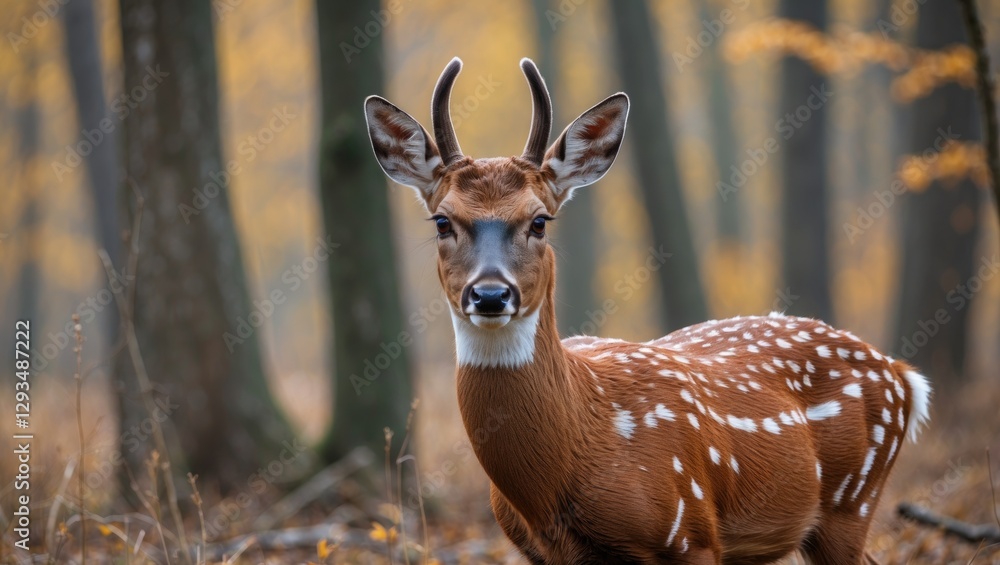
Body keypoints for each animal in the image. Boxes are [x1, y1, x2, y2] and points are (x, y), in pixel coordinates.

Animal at [364, 57, 932, 564]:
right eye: (442, 221)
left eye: (540, 220)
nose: (489, 295)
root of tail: (904, 376)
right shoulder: (545, 554)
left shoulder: (692, 533)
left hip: (851, 500)